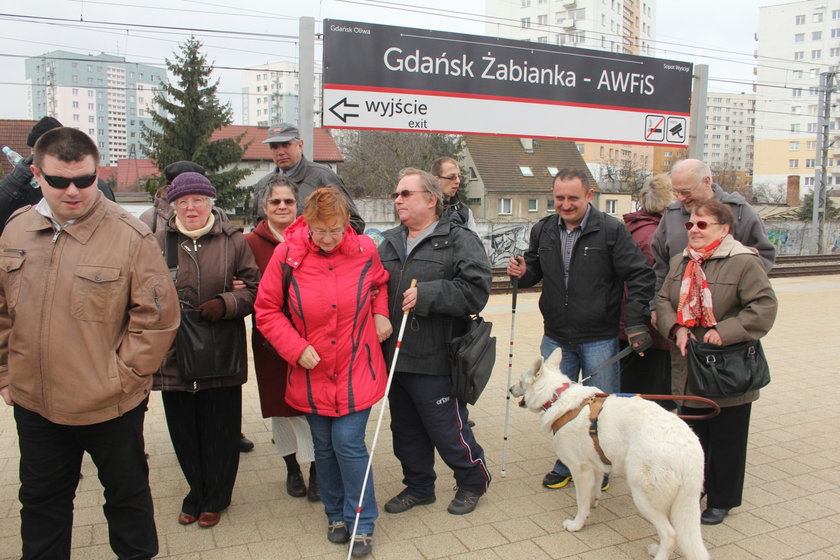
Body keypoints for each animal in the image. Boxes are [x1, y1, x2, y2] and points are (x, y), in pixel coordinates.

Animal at [508, 348, 712, 556]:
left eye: (520, 381)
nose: (509, 389)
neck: (557, 396)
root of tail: (689, 450)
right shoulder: (596, 466)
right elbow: (593, 493)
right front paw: (592, 506)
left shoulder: (580, 470)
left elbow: (581, 501)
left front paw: (577, 524)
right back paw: (657, 549)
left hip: (643, 496)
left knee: (670, 534)